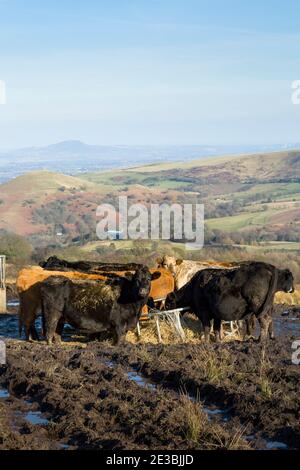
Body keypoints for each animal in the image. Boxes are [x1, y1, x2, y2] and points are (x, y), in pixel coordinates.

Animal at [164, 260, 292, 342]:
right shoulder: (216, 315)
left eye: (168, 304)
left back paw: (261, 341)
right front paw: (217, 342)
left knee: (265, 320)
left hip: (257, 305)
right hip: (266, 306)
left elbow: (206, 328)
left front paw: (205, 343)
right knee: (268, 319)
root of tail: (267, 270)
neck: (194, 287)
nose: (165, 317)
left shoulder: (204, 312)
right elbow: (216, 329)